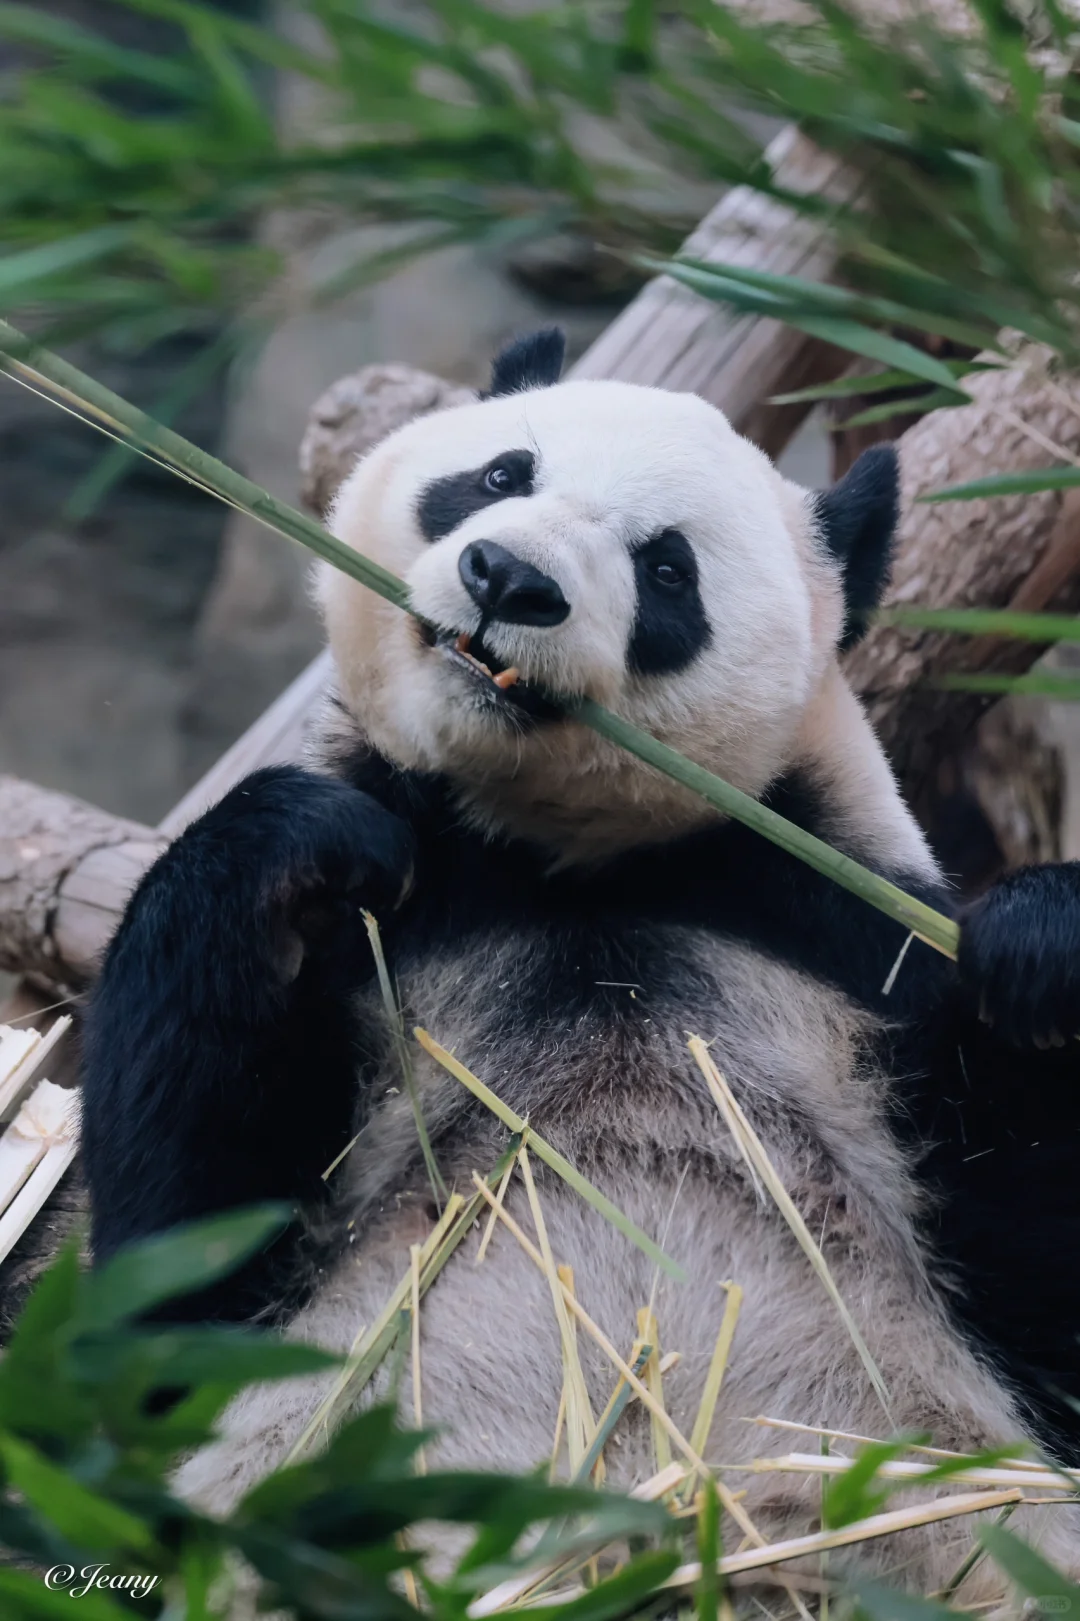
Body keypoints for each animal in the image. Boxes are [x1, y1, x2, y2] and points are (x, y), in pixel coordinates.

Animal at [79, 329, 1076, 1595]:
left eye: (667, 570)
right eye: (502, 474)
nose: (510, 579)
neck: (567, 866)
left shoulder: (855, 947)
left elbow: (1042, 1301)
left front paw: (1041, 958)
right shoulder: (389, 937)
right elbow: (175, 1273)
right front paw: (301, 844)